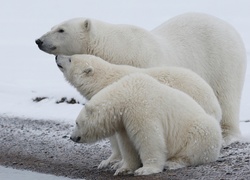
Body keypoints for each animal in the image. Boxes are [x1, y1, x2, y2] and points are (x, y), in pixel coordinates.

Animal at [36, 12, 247, 145]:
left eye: (61, 30)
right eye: (52, 26)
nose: (39, 40)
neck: (116, 49)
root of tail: (229, 27)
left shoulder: (143, 62)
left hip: (224, 59)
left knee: (227, 95)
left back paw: (228, 135)